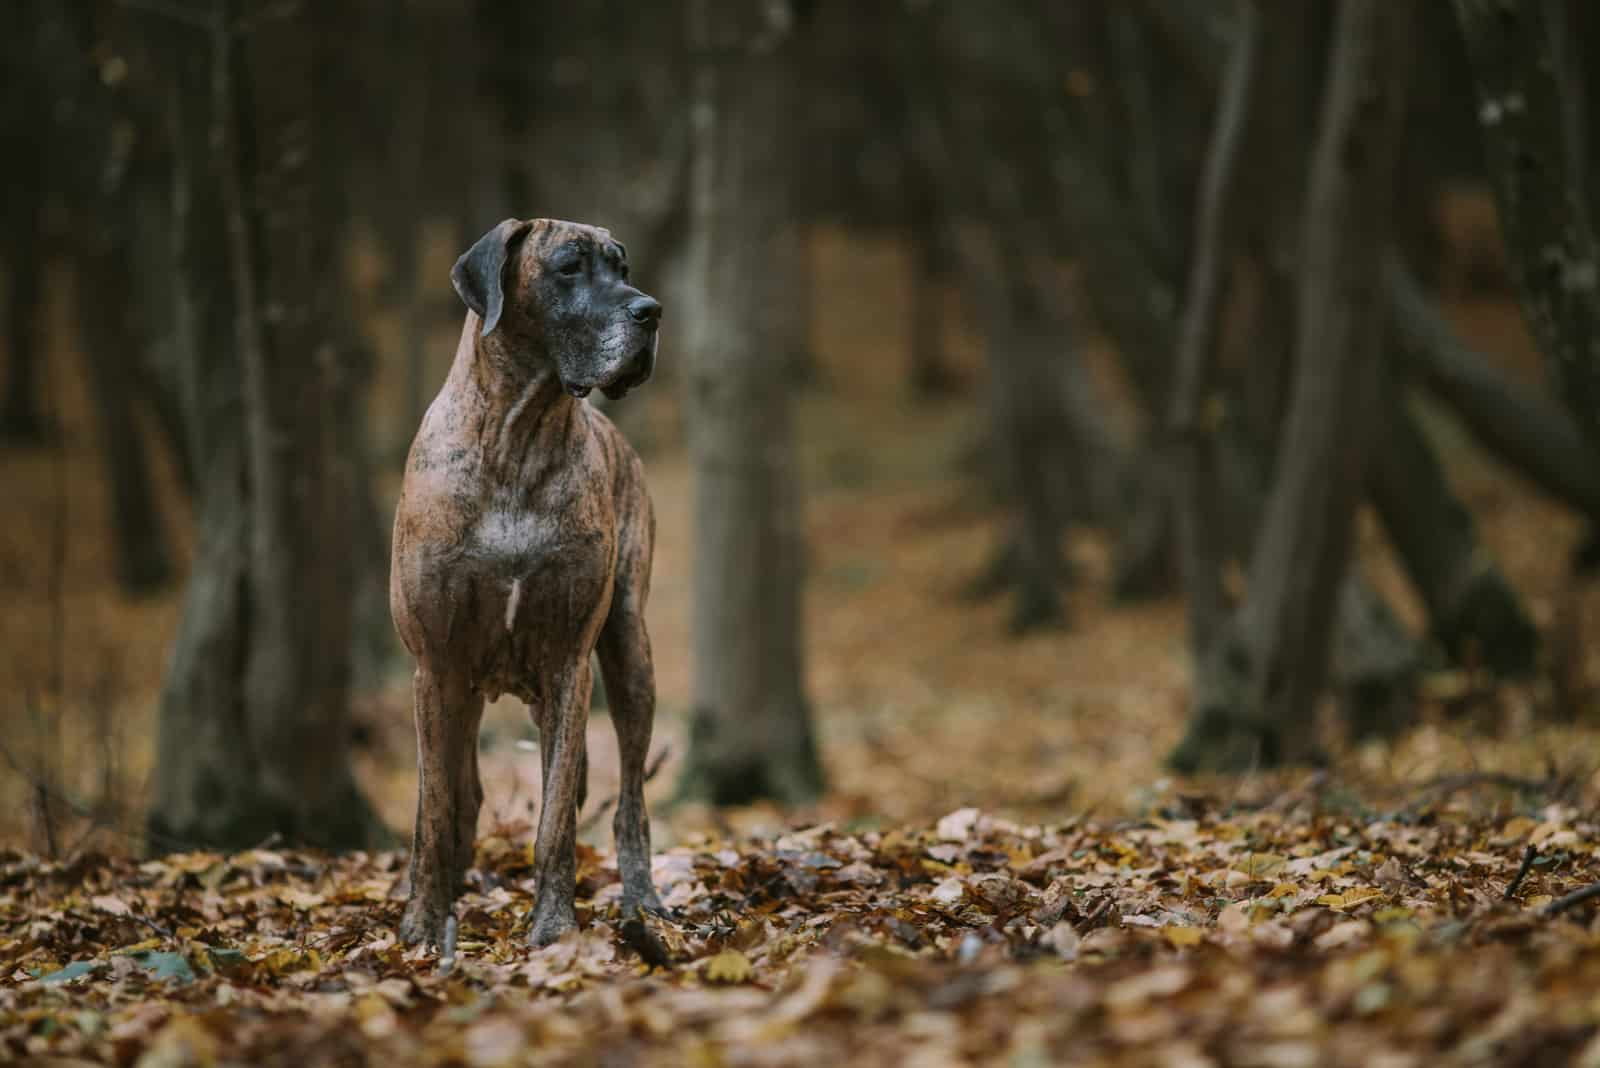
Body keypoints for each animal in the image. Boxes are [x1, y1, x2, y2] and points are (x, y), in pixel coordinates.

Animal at [392, 214, 662, 940]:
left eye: (623, 268)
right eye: (569, 267)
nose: (651, 311)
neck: (519, 436)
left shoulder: (570, 664)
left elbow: (555, 821)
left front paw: (553, 927)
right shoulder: (435, 666)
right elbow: (433, 812)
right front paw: (423, 924)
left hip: (629, 654)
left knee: (628, 802)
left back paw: (643, 902)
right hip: (460, 693)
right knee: (459, 794)